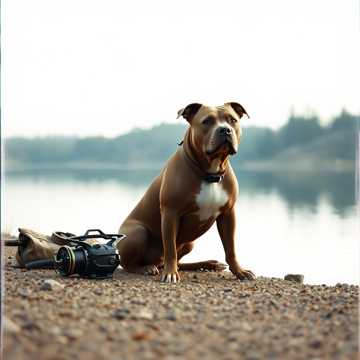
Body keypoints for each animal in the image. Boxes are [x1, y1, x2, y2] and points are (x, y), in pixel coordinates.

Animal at [116, 102, 255, 282]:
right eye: (207, 121)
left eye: (232, 120)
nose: (225, 130)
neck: (209, 173)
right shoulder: (170, 213)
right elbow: (170, 249)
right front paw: (170, 274)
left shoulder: (228, 214)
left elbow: (230, 248)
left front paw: (239, 271)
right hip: (137, 232)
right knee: (131, 263)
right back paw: (146, 268)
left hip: (190, 243)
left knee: (178, 262)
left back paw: (207, 264)